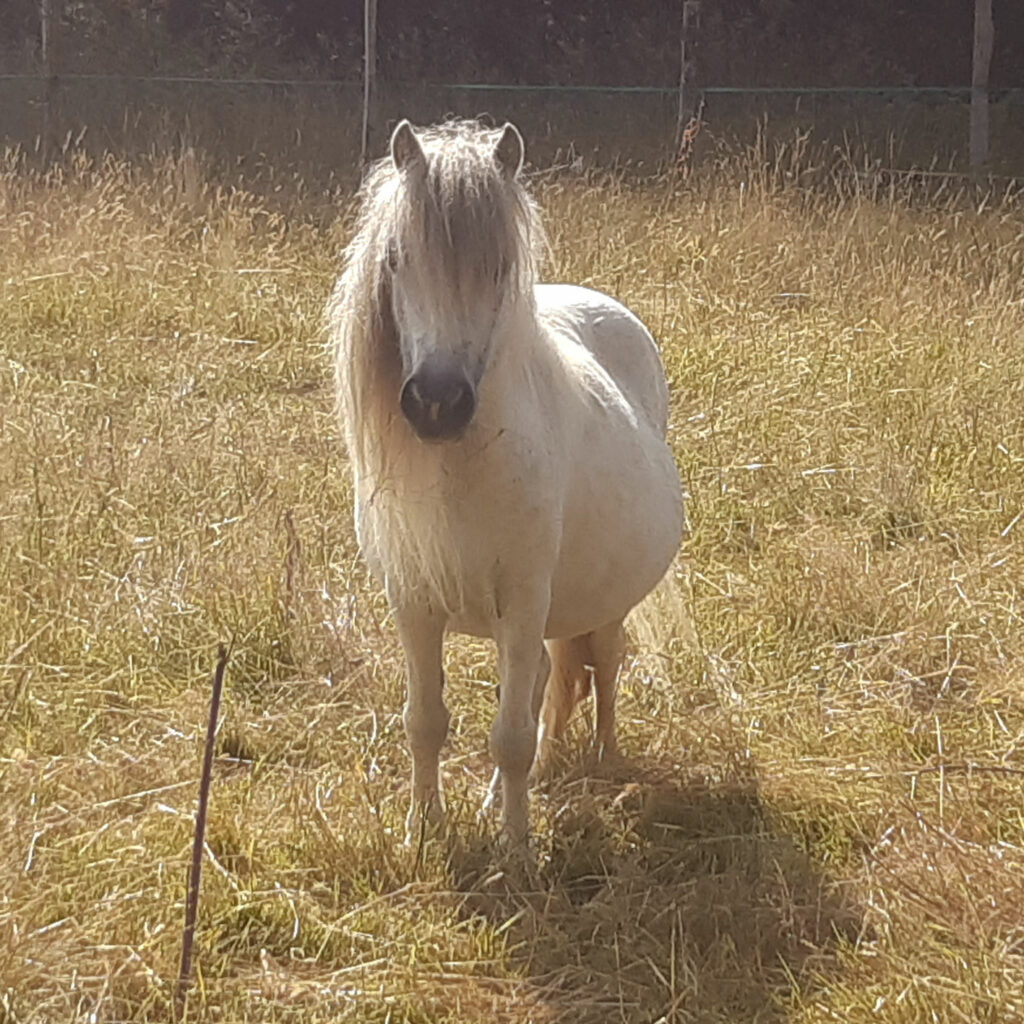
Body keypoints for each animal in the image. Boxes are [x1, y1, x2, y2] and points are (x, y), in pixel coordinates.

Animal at [327, 117, 679, 847]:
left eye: (497, 266)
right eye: (396, 259)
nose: (436, 403)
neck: (464, 467)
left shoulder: (522, 604)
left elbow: (511, 736)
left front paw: (517, 852)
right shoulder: (413, 604)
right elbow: (426, 722)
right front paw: (424, 830)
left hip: (601, 606)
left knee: (603, 666)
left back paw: (605, 763)